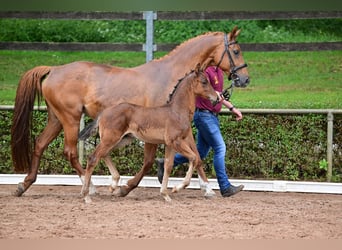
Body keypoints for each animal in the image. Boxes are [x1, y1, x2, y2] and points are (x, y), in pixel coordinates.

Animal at [79, 63, 219, 202]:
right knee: (93, 158)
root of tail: (104, 112)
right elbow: (193, 157)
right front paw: (176, 188)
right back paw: (86, 195)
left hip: (121, 140)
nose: (217, 97)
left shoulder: (170, 145)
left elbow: (169, 165)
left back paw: (113, 184)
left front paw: (165, 194)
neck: (177, 111)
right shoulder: (176, 141)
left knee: (104, 154)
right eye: (204, 82)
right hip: (111, 139)